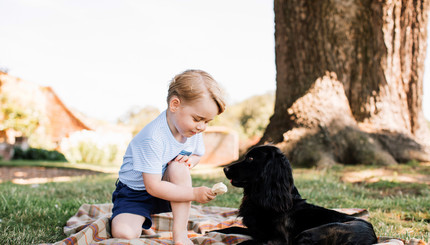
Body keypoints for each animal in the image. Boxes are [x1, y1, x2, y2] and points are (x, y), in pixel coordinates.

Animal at [214, 146, 376, 244]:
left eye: (251, 158)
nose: (225, 169)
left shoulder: (276, 240)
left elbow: (245, 242)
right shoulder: (256, 231)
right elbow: (228, 229)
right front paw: (212, 231)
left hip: (309, 233)